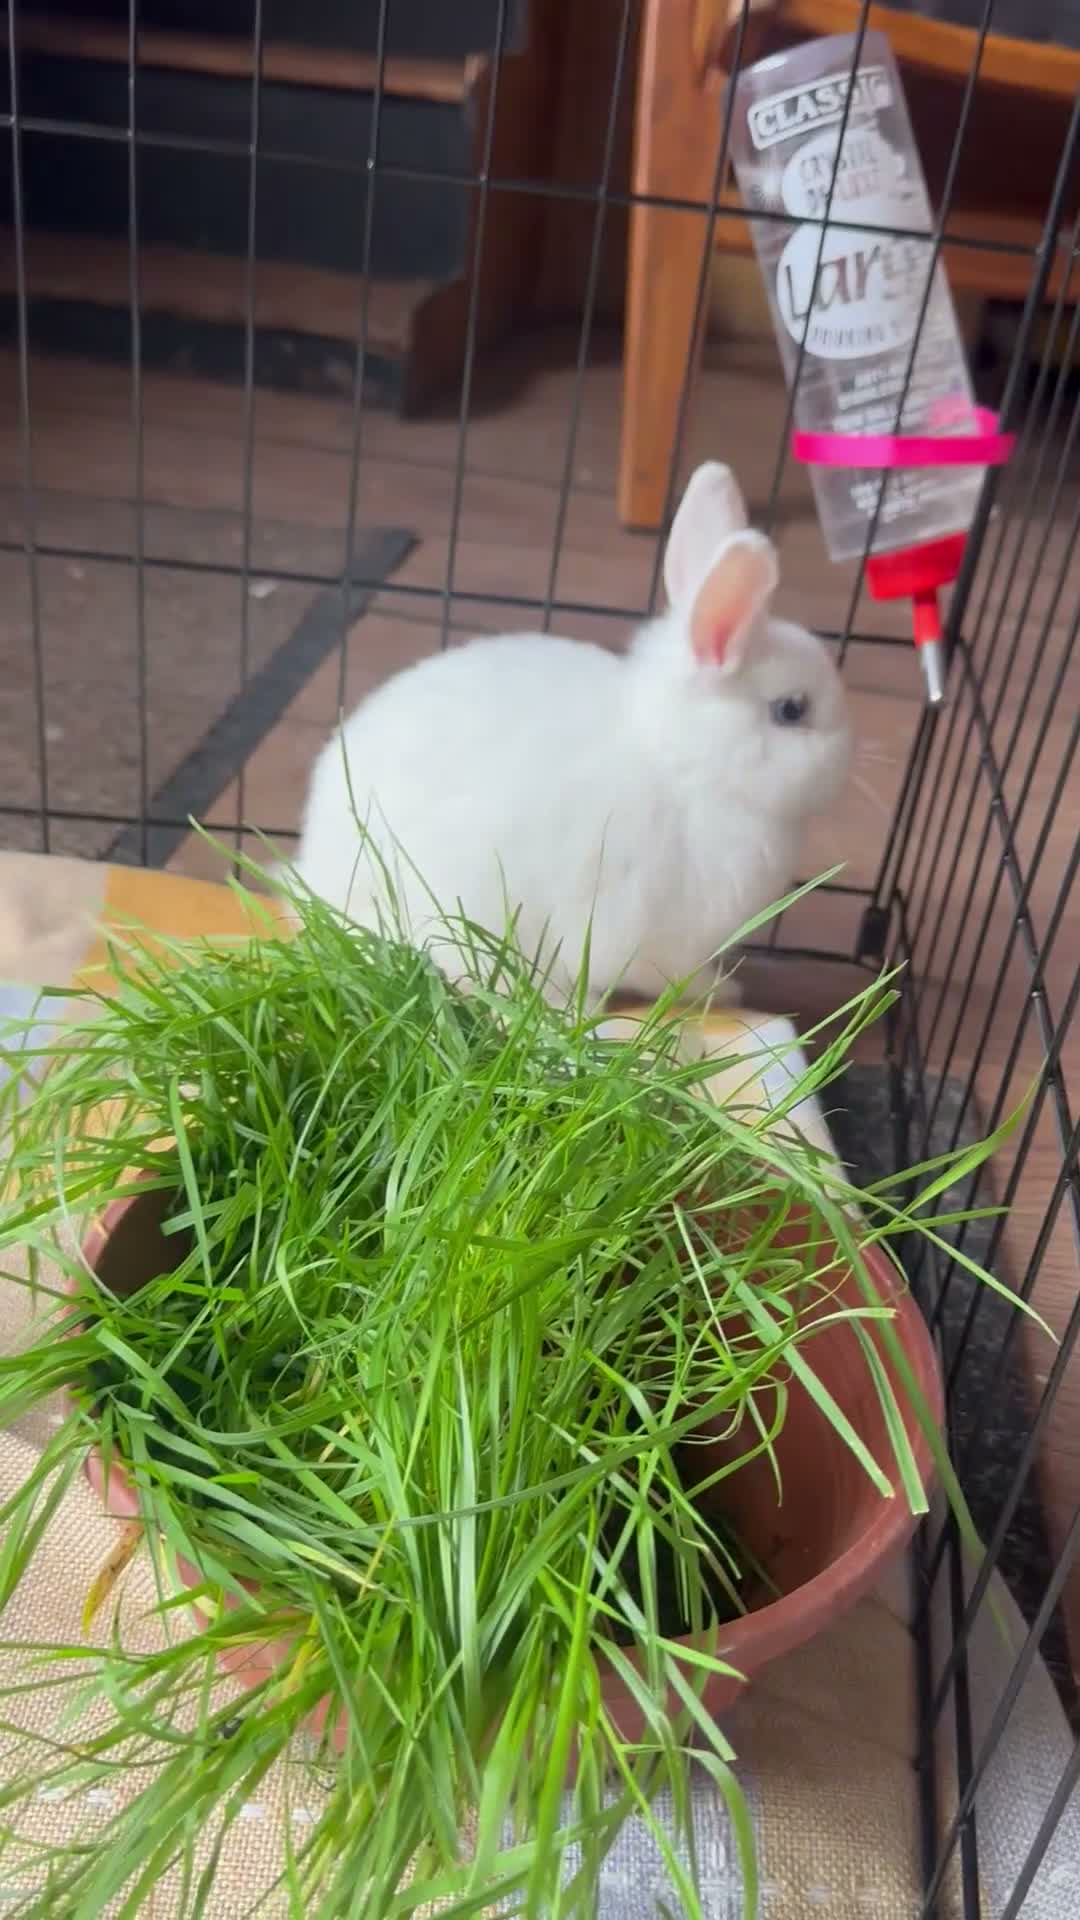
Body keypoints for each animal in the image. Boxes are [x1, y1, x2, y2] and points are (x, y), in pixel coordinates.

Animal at [294, 462, 853, 1006]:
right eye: (791, 710)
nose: (849, 753)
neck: (681, 763)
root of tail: (314, 877)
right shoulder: (640, 929)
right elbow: (664, 975)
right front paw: (723, 991)